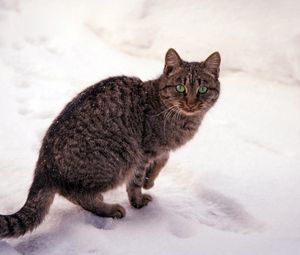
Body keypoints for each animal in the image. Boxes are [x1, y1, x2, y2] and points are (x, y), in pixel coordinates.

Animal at [0, 47, 220, 237]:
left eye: (202, 89)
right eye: (180, 88)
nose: (191, 103)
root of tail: (44, 165)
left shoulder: (158, 149)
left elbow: (163, 159)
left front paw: (150, 179)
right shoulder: (143, 152)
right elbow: (135, 182)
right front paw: (139, 198)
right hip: (120, 158)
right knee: (76, 193)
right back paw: (109, 209)